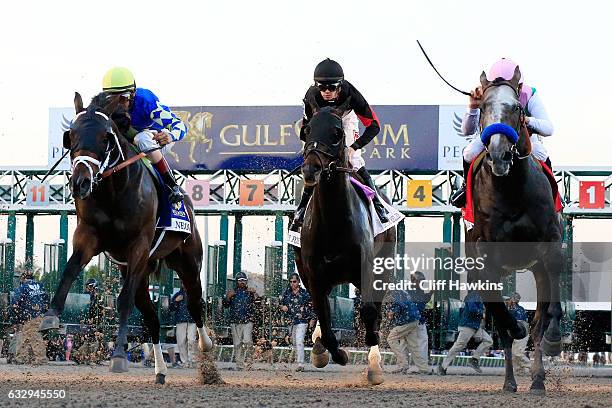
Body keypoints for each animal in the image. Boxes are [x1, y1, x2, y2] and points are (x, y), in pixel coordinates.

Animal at [39, 91, 214, 382]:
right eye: (70, 136)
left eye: (105, 137)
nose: (80, 183)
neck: (114, 191)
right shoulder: (88, 236)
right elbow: (69, 270)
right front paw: (50, 317)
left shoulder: (138, 247)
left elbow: (122, 301)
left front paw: (119, 355)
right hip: (143, 275)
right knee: (153, 318)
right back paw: (160, 370)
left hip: (187, 262)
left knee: (194, 302)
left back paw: (206, 345)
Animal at [292, 99, 396, 386]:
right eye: (306, 130)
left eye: (337, 133)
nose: (311, 169)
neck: (334, 220)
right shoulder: (313, 273)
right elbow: (324, 318)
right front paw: (333, 352)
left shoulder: (366, 268)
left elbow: (369, 313)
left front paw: (372, 354)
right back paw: (319, 348)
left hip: (384, 267)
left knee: (375, 309)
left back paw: (374, 364)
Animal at [468, 68, 564, 394]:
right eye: (483, 106)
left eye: (517, 108)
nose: (499, 156)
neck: (511, 190)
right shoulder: (487, 256)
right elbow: (502, 317)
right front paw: (514, 325)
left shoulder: (550, 241)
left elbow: (549, 308)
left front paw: (553, 339)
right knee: (503, 324)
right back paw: (510, 380)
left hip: (537, 268)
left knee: (540, 320)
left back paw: (537, 377)